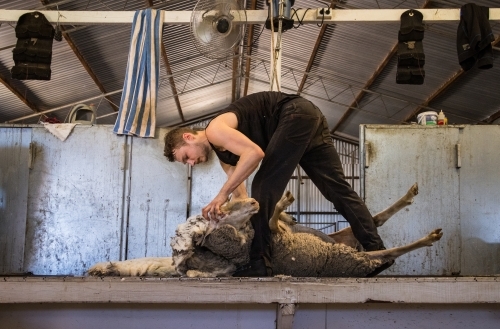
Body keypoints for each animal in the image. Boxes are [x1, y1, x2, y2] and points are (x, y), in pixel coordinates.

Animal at [88, 182, 444, 276]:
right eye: (219, 211)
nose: (253, 201)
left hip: (341, 238)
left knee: (378, 220)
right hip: (345, 253)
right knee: (386, 251)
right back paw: (427, 238)